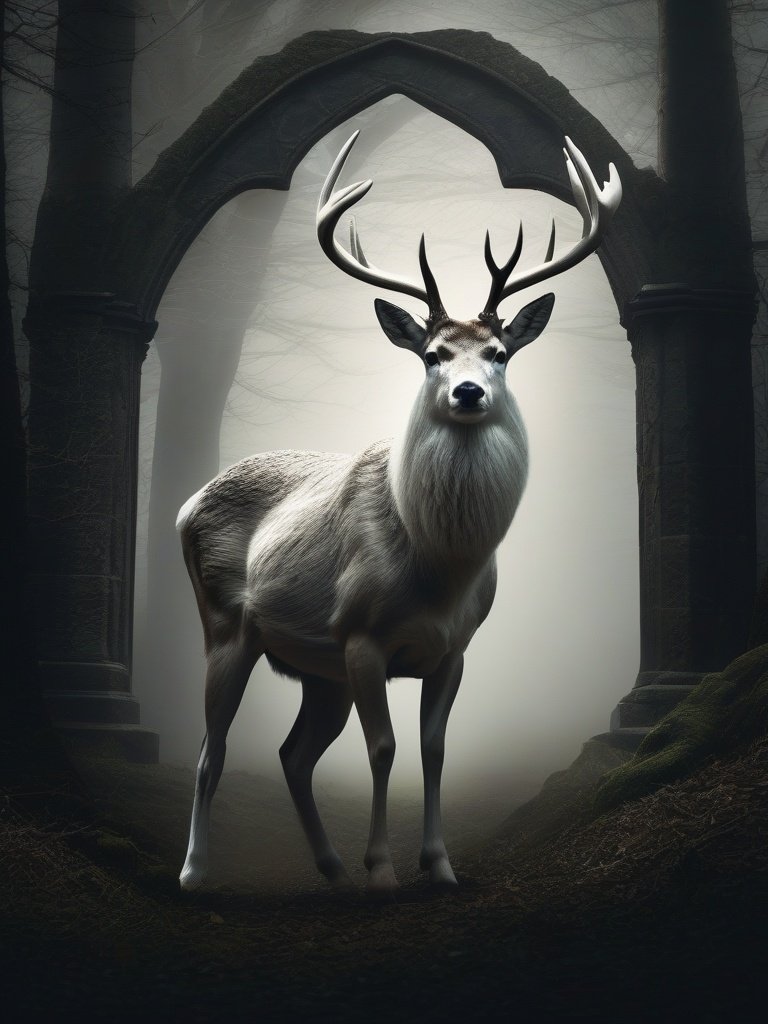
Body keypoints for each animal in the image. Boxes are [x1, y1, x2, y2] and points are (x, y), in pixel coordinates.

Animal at [178, 131, 621, 895]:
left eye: (500, 353)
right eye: (433, 355)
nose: (469, 391)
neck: (439, 566)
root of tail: (185, 505)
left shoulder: (454, 649)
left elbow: (434, 749)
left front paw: (438, 864)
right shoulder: (361, 636)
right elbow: (383, 748)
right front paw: (383, 867)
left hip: (314, 668)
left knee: (293, 753)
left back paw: (328, 868)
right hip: (227, 627)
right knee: (212, 749)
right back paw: (195, 872)